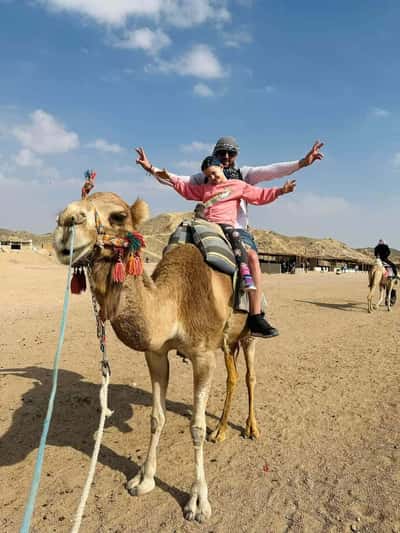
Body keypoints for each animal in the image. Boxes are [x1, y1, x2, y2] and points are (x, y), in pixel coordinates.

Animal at [53, 190, 260, 520]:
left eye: (119, 216)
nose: (66, 222)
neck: (173, 304)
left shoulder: (203, 355)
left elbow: (196, 428)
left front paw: (198, 501)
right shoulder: (156, 354)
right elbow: (156, 417)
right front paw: (144, 479)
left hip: (249, 332)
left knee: (250, 376)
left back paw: (251, 428)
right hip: (228, 342)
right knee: (233, 376)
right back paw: (221, 430)